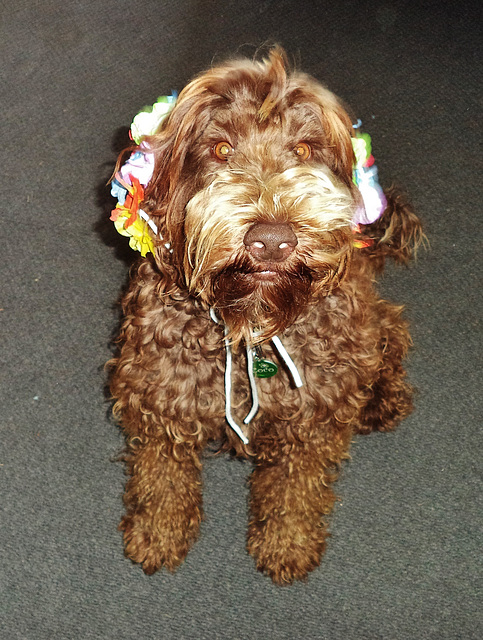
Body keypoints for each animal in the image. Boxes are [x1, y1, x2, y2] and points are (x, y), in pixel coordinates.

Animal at [109, 46, 424, 584]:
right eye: (220, 149)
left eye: (304, 150)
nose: (272, 240)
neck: (251, 321)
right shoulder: (160, 394)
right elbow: (163, 475)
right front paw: (158, 533)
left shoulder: (311, 416)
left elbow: (295, 488)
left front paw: (287, 543)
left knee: (391, 330)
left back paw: (383, 396)